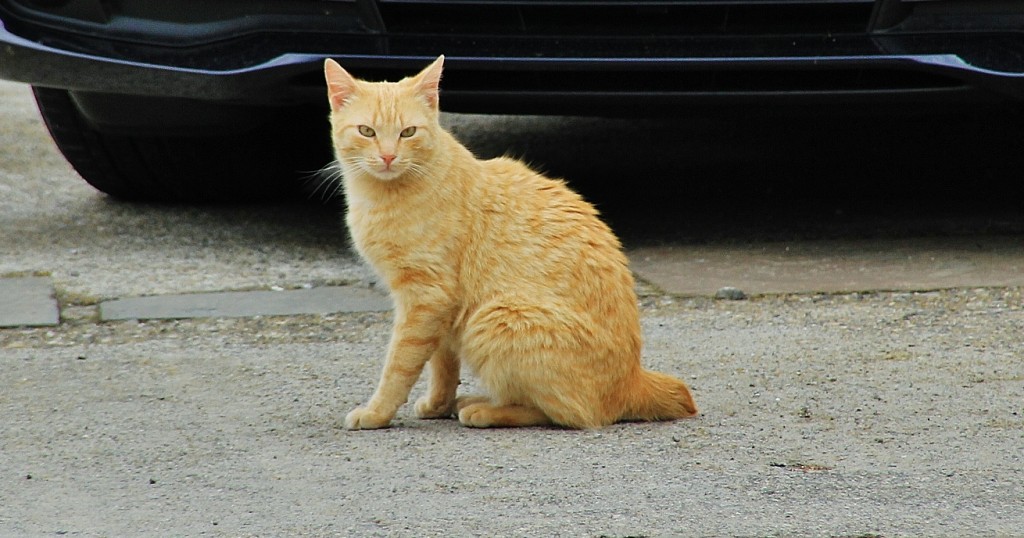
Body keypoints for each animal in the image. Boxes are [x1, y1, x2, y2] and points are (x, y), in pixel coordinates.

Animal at [325, 56, 696, 430]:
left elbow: (400, 365)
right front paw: (437, 404)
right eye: (367, 132)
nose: (388, 157)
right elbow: (443, 364)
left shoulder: (426, 297)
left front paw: (377, 412)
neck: (385, 194)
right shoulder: (440, 307)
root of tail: (633, 379)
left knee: (570, 414)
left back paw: (485, 409)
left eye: (408, 133)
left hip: (495, 318)